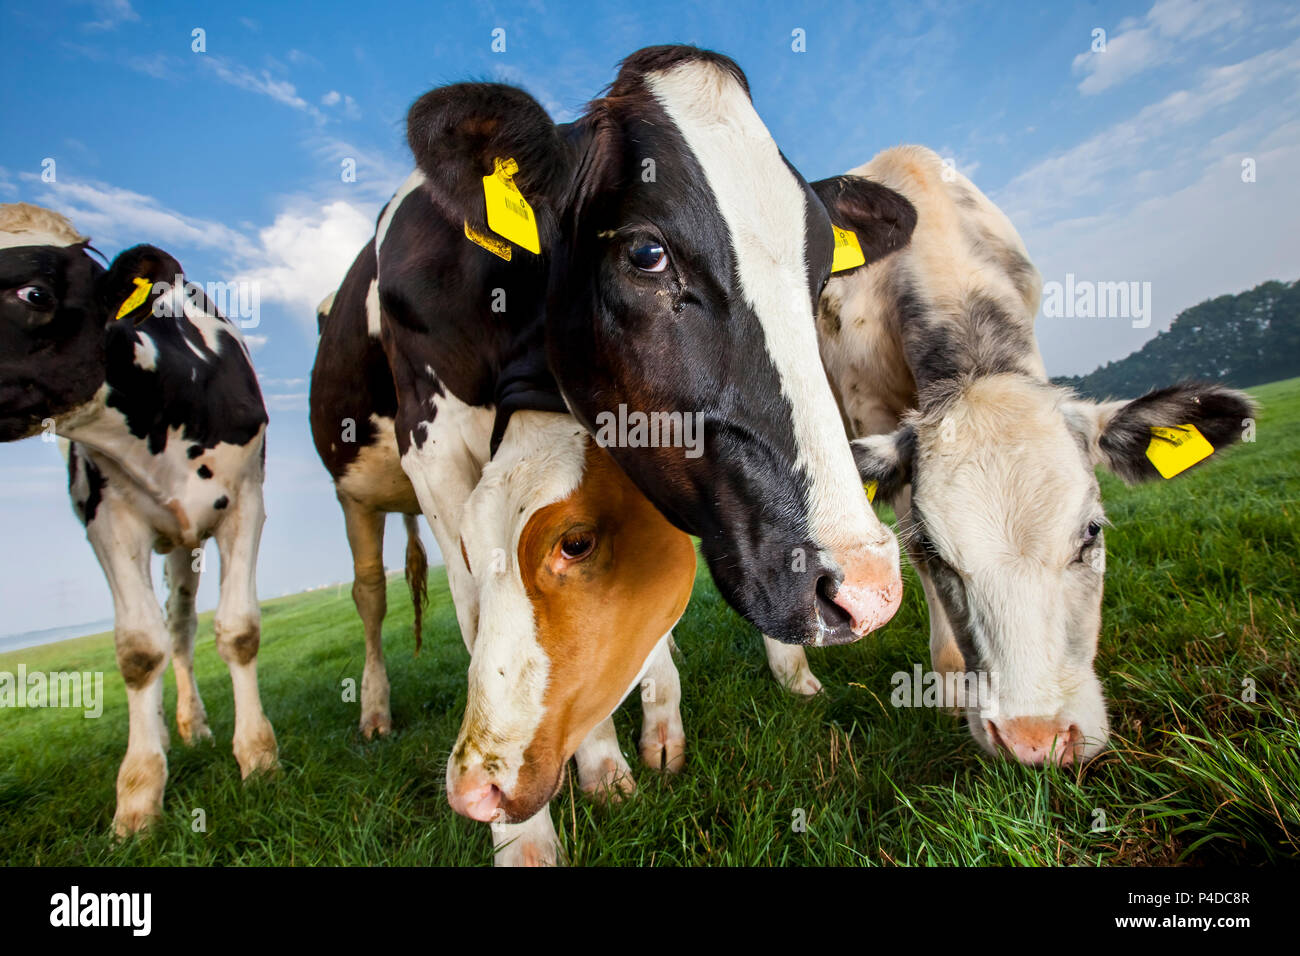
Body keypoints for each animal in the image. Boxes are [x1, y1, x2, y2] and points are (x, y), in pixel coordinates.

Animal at [0, 202, 277, 834]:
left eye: (34, 293)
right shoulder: (107, 523)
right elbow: (137, 649)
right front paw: (139, 794)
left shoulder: (245, 501)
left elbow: (239, 629)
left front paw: (258, 757)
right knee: (172, 634)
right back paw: (177, 731)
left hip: (187, 540)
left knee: (183, 627)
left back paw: (194, 727)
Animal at [311, 260, 696, 867]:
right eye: (471, 544)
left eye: (575, 543)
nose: (472, 793)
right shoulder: (430, 450)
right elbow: (476, 624)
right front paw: (531, 837)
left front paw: (651, 736)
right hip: (356, 500)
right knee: (369, 593)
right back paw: (374, 713)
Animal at [773, 146, 1253, 764]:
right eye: (934, 551)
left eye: (1092, 532)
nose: (1035, 739)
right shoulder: (873, 411)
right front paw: (950, 688)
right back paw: (793, 676)